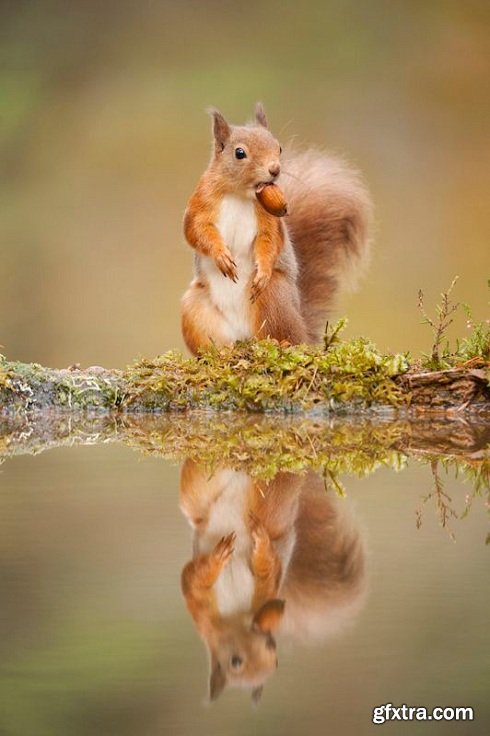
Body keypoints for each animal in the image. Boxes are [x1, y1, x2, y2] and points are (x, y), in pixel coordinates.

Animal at [179, 462, 364, 704]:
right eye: (235, 662)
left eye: (272, 653)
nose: (265, 637)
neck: (236, 619)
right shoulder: (200, 607)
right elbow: (195, 576)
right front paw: (216, 559)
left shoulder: (266, 586)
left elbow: (268, 570)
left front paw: (262, 545)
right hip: (198, 493)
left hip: (271, 508)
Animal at [180, 105, 372, 356]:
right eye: (239, 153)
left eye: (278, 147)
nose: (275, 169)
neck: (240, 193)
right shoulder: (200, 203)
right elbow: (195, 230)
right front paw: (221, 256)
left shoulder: (270, 219)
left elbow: (270, 240)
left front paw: (262, 271)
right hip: (195, 309)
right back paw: (221, 352)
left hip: (274, 296)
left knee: (284, 336)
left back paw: (280, 344)